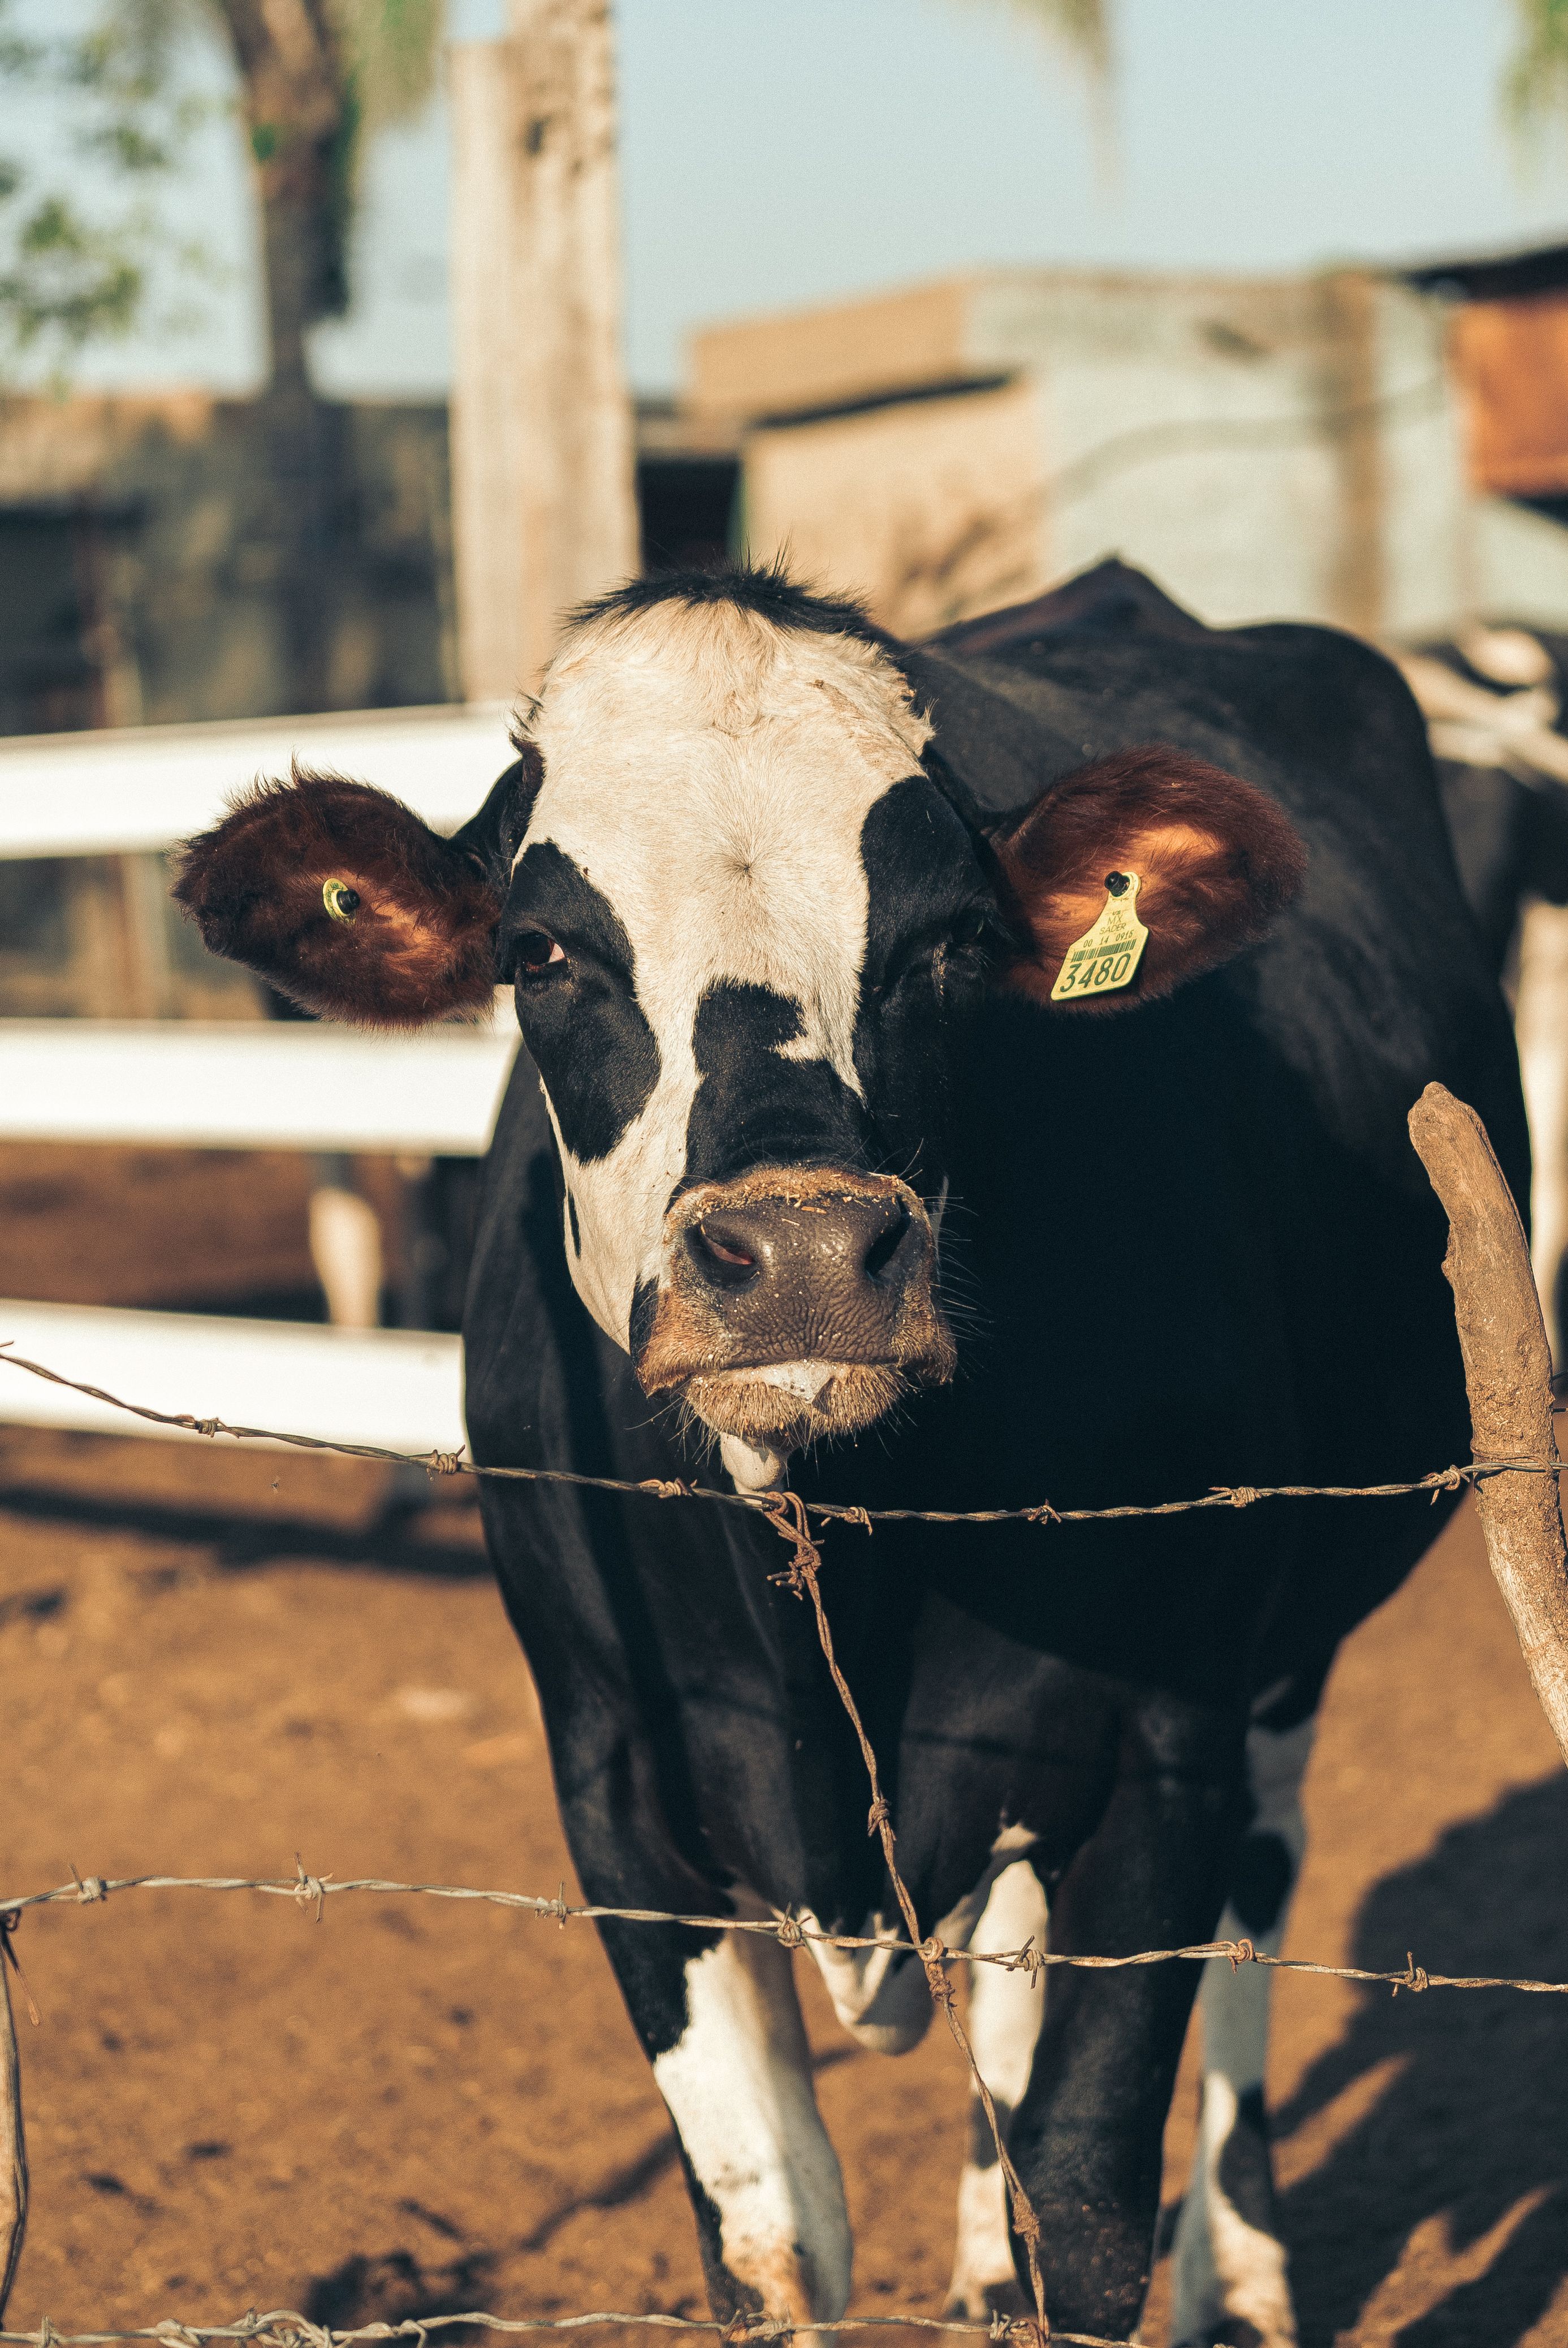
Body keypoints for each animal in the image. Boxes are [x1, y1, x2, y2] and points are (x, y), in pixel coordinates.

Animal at [173, 561, 1528, 2348]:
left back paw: (1238, 2272)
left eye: (951, 943)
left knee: (1260, 1880)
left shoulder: (1164, 1745)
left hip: (1284, 1651)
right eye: (540, 951)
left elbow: (1084, 2209)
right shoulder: (615, 1779)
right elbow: (770, 2236)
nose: (804, 1254)